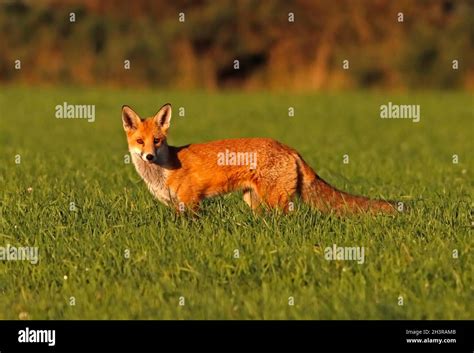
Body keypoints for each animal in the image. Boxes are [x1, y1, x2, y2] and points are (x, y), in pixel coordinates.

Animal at [122, 102, 396, 214]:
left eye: (157, 140)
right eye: (140, 141)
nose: (149, 156)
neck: (162, 171)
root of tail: (289, 147)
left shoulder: (191, 203)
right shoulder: (174, 205)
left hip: (276, 200)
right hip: (253, 200)